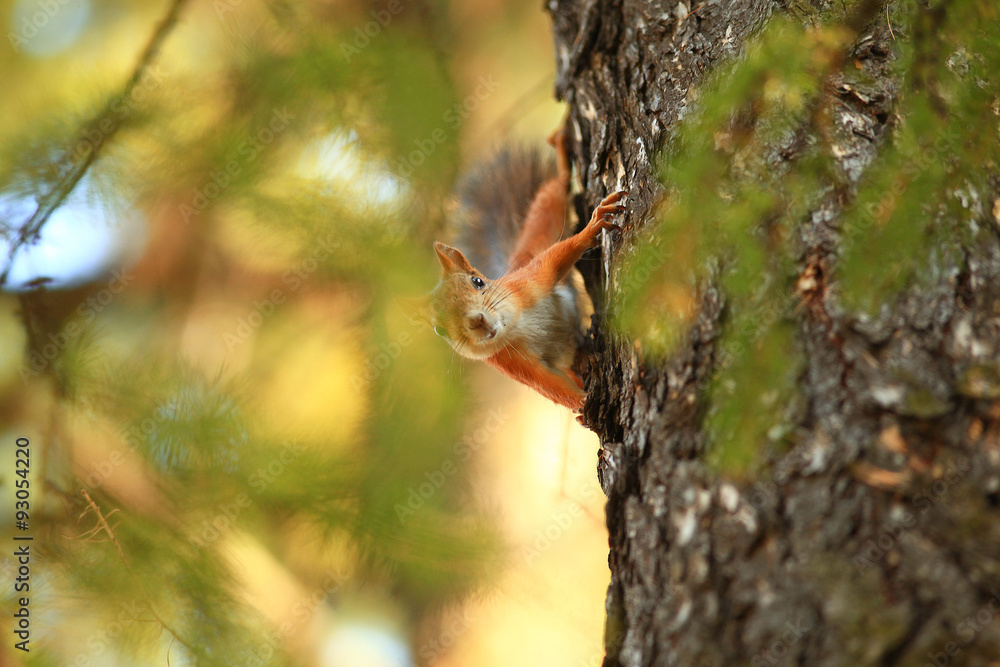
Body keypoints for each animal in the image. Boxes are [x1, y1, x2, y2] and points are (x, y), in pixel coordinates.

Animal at [423, 131, 627, 411]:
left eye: (477, 282)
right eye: (439, 330)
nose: (476, 321)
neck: (514, 325)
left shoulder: (531, 282)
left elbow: (556, 259)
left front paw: (592, 229)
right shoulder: (510, 362)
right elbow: (549, 386)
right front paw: (581, 406)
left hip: (541, 225)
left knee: (555, 189)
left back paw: (561, 153)